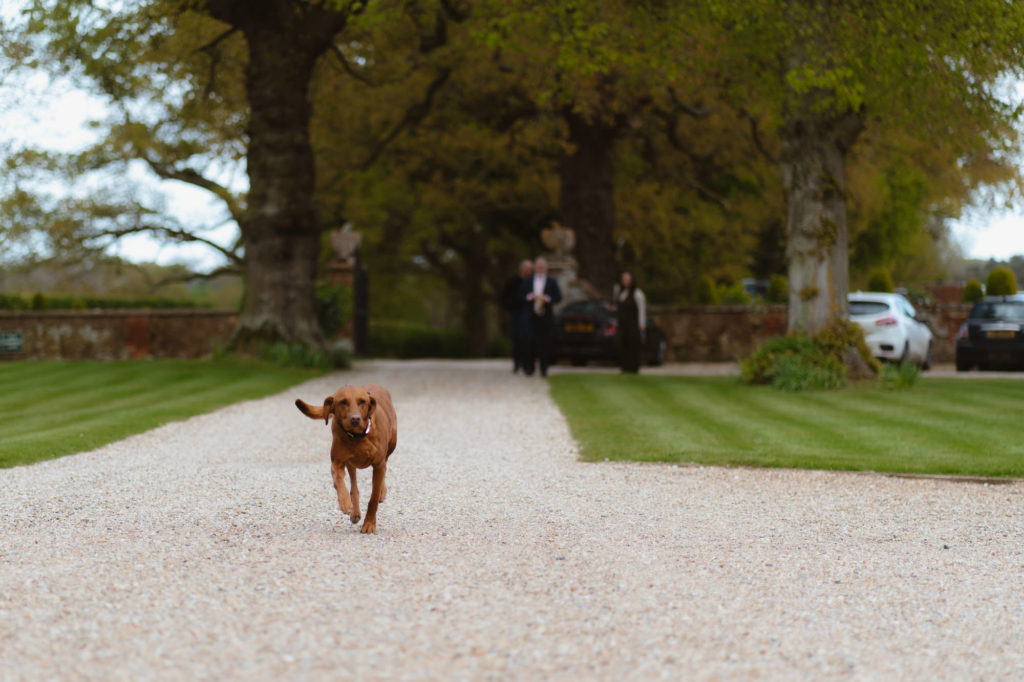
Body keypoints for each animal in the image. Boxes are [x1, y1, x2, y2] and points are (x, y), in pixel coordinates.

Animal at [294, 382, 397, 532]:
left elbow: (373, 497)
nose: (355, 419)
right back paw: (355, 512)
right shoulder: (337, 462)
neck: (357, 437)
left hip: (392, 445)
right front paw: (344, 502)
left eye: (362, 401)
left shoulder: (378, 464)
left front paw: (369, 524)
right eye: (343, 402)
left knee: (385, 467)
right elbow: (338, 481)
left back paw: (381, 491)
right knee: (354, 487)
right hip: (351, 464)